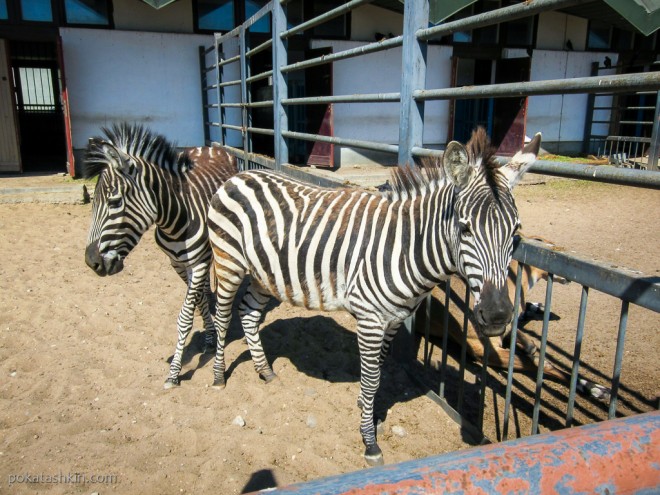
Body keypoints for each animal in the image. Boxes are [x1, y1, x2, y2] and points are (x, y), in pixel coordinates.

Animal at [81, 122, 237, 390]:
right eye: (92, 204)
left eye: (114, 202)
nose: (92, 262)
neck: (176, 218)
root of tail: (210, 147)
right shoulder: (177, 264)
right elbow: (198, 301)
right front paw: (209, 336)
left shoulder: (198, 262)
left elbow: (185, 316)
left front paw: (174, 373)